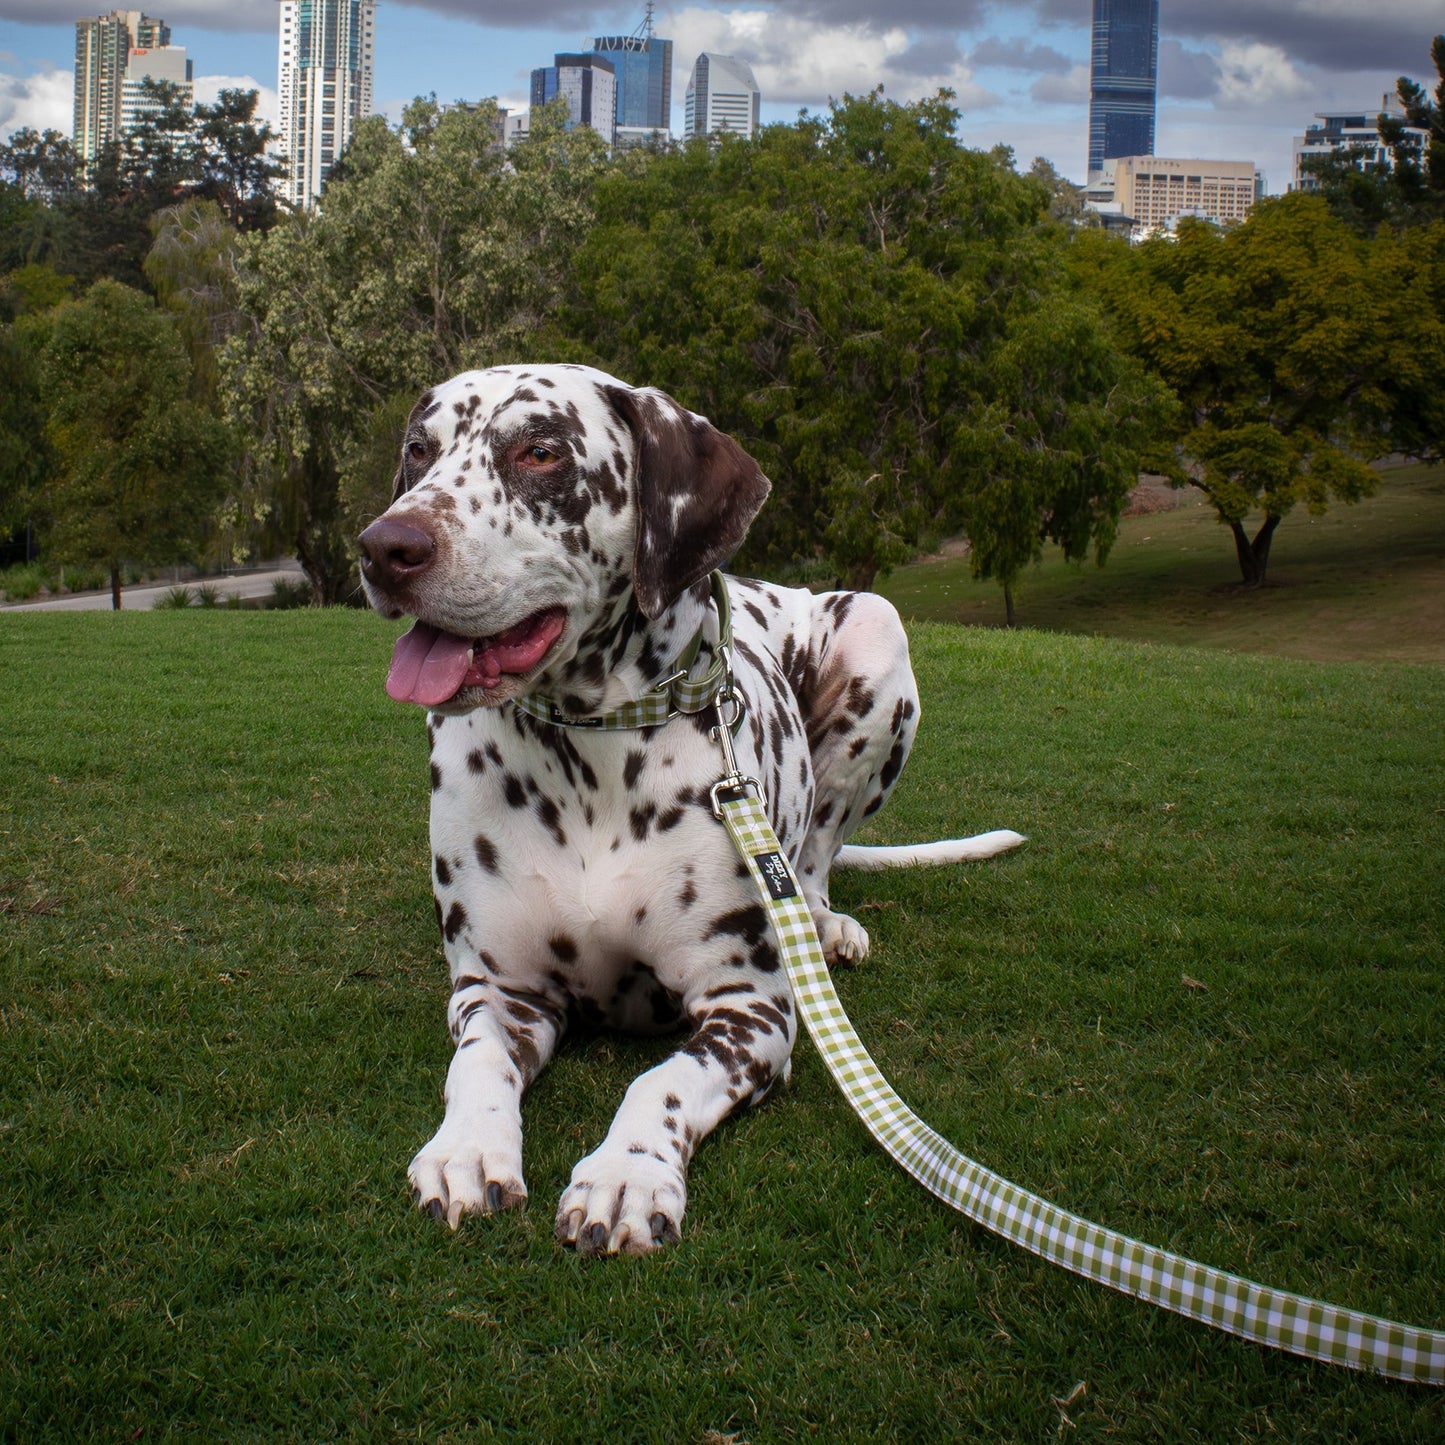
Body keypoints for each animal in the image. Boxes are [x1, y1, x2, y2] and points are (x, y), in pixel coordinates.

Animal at [355, 361, 1023, 1254]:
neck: (591, 754)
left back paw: (824, 922)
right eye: (418, 450)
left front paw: (625, 1173)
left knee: (815, 856)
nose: (385, 547)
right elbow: (476, 1065)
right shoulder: (497, 990)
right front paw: (464, 1148)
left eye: (539, 451)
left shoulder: (749, 1008)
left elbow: (658, 1080)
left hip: (874, 630)